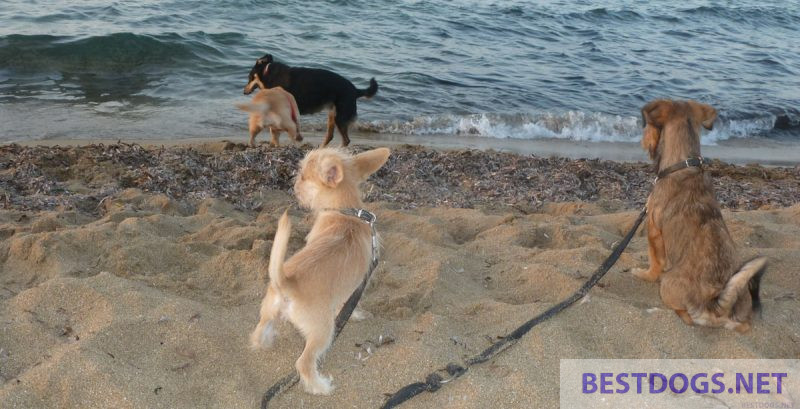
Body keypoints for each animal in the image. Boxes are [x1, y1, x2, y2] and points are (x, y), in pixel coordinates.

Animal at [244, 53, 378, 147]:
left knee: (346, 140)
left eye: (249, 78)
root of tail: (355, 90)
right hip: (333, 115)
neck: (267, 73)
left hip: (340, 117)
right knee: (330, 136)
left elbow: (275, 130)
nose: (244, 91)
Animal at [248, 146, 390, 392]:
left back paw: (265, 342)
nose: (293, 184)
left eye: (304, 177)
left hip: (269, 310)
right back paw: (321, 387)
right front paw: (358, 315)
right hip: (324, 331)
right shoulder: (356, 287)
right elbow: (351, 306)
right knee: (303, 363)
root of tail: (287, 282)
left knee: (260, 331)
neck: (344, 211)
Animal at [632, 99, 768, 332]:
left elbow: (654, 262)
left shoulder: (653, 230)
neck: (685, 163)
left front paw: (645, 274)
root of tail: (716, 306)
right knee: (744, 325)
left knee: (683, 312)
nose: (642, 141)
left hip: (668, 285)